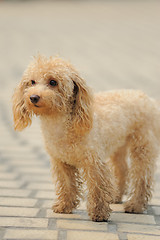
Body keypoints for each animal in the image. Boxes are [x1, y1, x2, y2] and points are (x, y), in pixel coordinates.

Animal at [12, 54, 160, 221]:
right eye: (32, 82)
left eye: (53, 82)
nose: (33, 97)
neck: (62, 126)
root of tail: (149, 99)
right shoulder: (61, 161)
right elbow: (67, 185)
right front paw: (64, 206)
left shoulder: (94, 162)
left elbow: (97, 187)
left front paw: (99, 213)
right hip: (118, 146)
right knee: (122, 170)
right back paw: (115, 196)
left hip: (143, 146)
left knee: (142, 177)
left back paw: (135, 205)